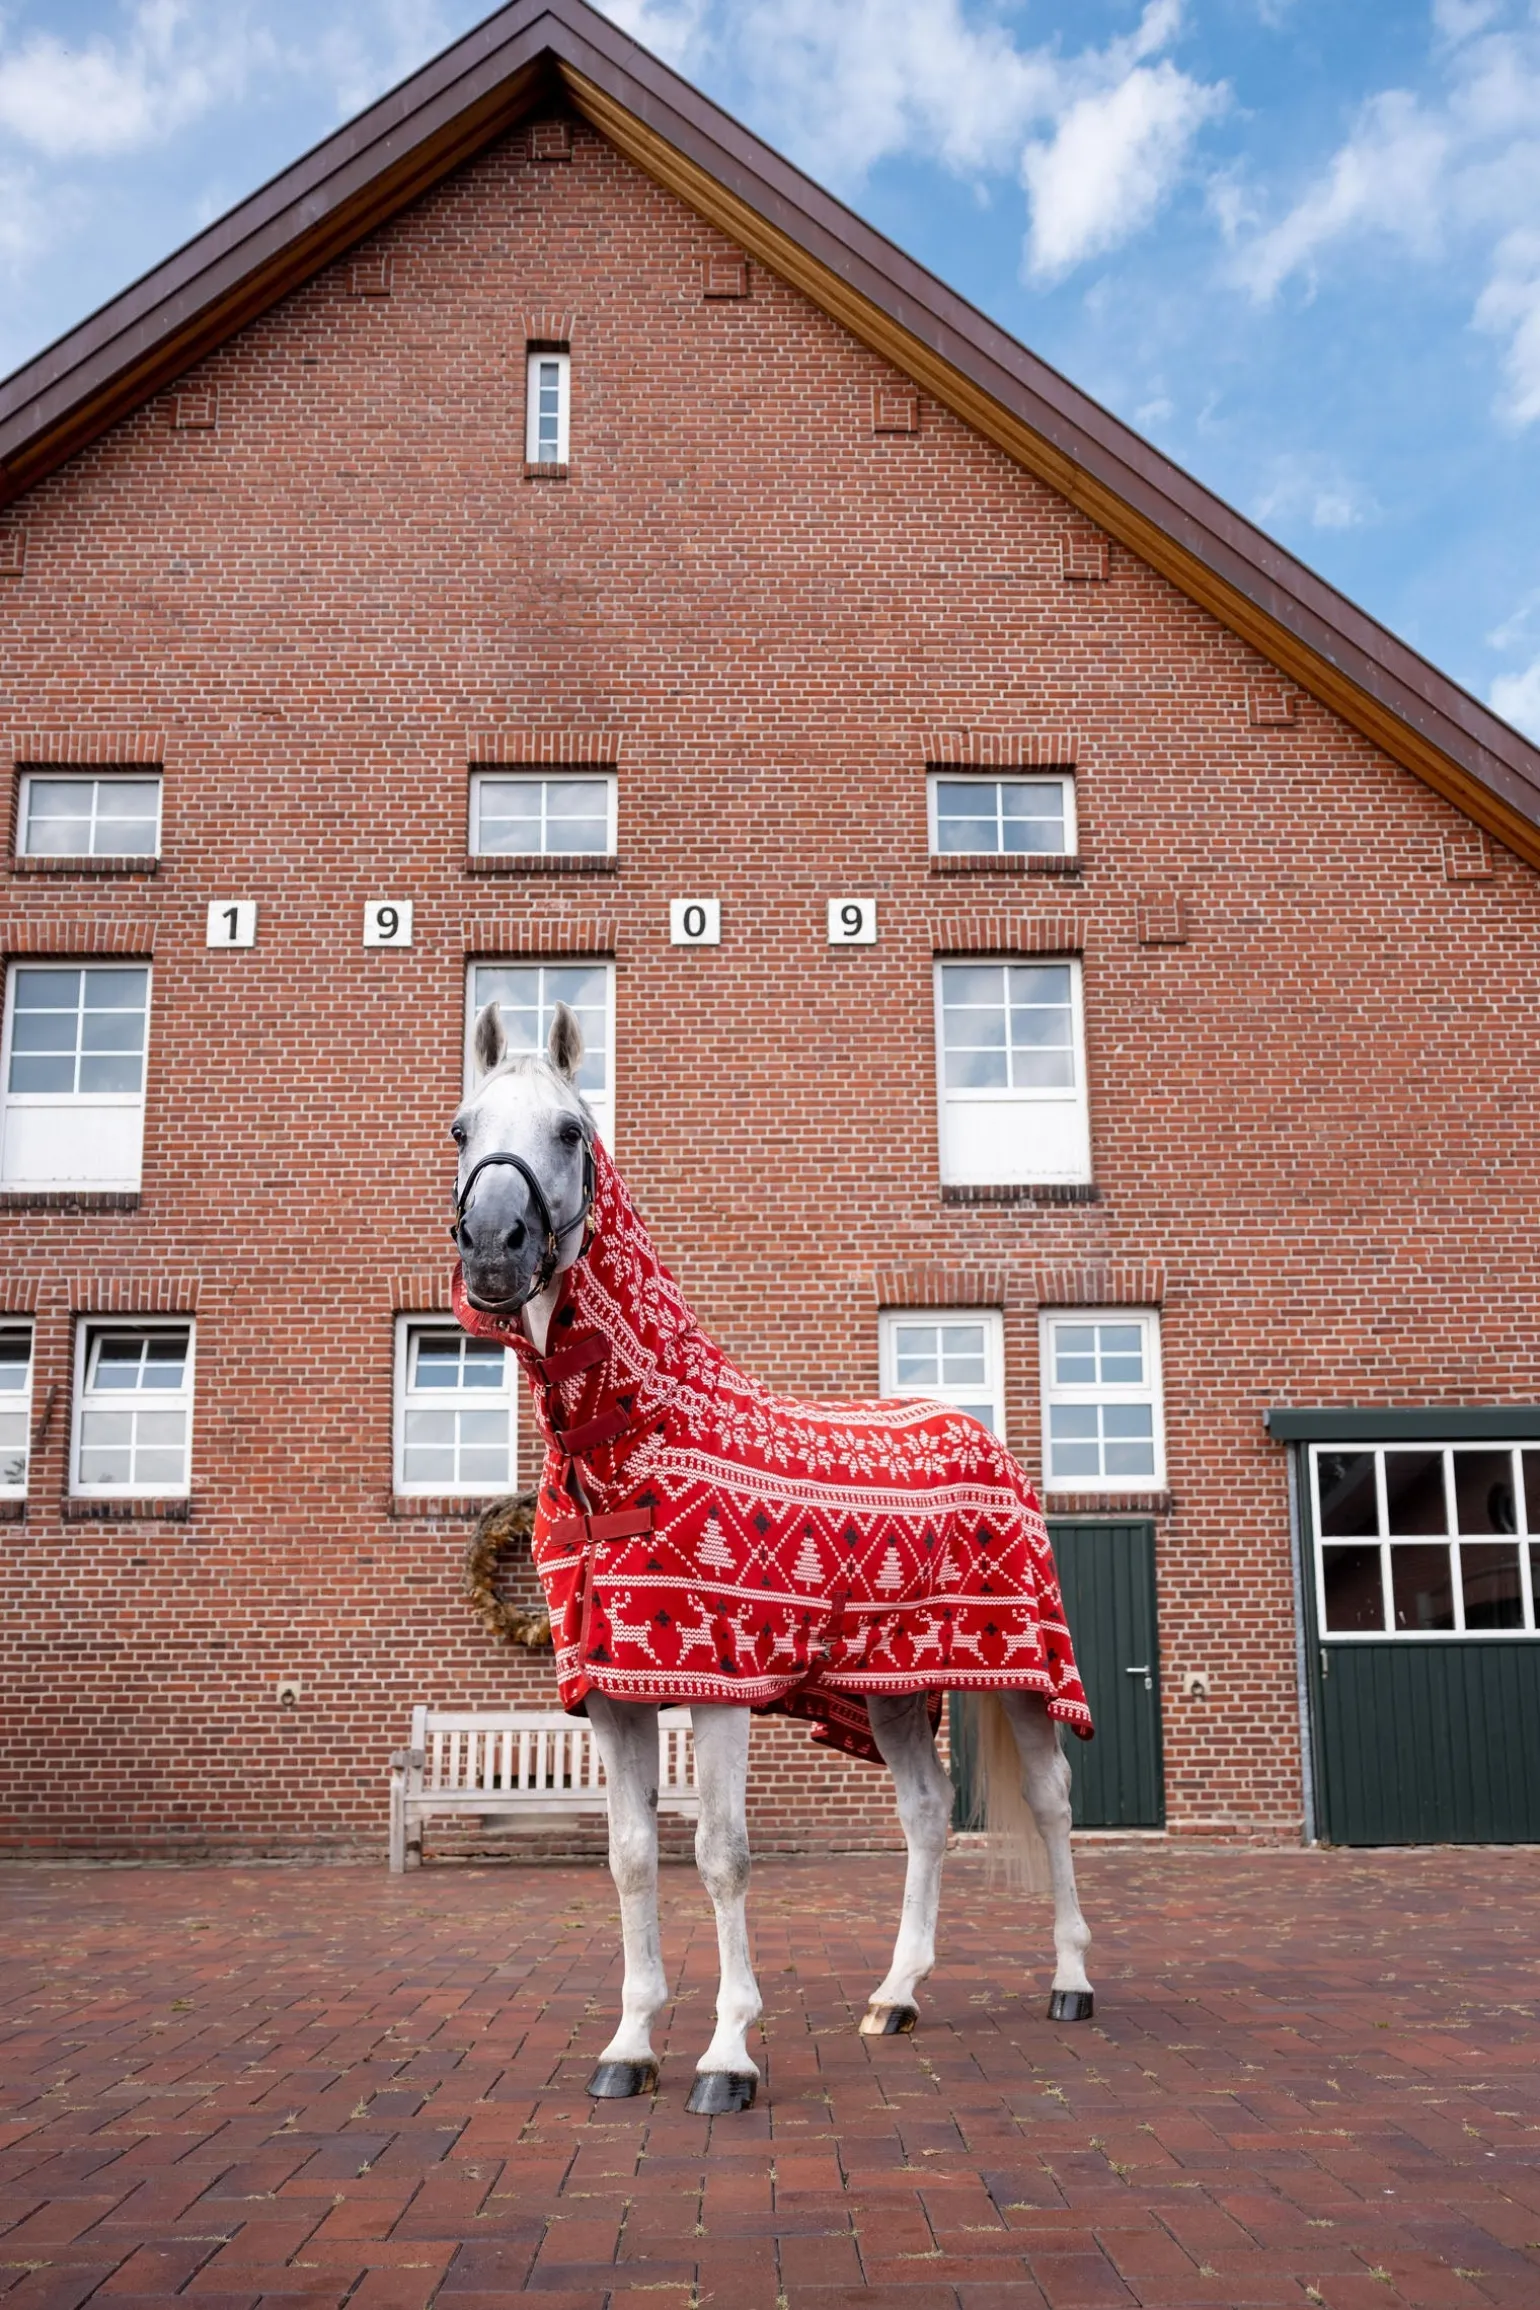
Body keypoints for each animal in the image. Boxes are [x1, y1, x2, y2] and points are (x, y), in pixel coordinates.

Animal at [448, 1000, 1096, 2114]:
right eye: (461, 1130)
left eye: (570, 1130)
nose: (494, 1244)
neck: (632, 1439)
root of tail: (986, 1442)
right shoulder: (616, 1694)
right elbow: (631, 1859)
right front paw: (629, 2046)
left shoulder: (720, 1687)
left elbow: (721, 1855)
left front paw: (727, 2057)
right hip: (891, 1687)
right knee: (926, 1816)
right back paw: (896, 1996)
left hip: (1021, 1674)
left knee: (1052, 1807)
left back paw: (1070, 1981)